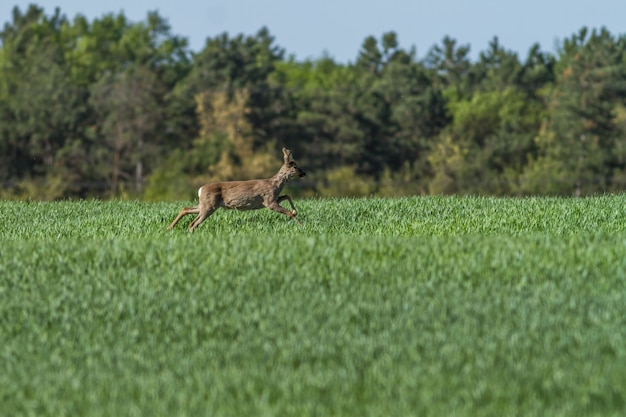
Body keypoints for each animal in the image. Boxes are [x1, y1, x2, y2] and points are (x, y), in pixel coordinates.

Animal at [165, 147, 304, 232]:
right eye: (295, 167)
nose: (304, 173)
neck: (275, 184)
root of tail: (200, 190)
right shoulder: (269, 201)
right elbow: (288, 212)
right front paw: (301, 224)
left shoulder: (273, 199)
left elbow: (287, 196)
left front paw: (296, 212)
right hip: (209, 206)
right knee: (194, 223)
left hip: (205, 204)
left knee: (186, 210)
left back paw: (169, 228)